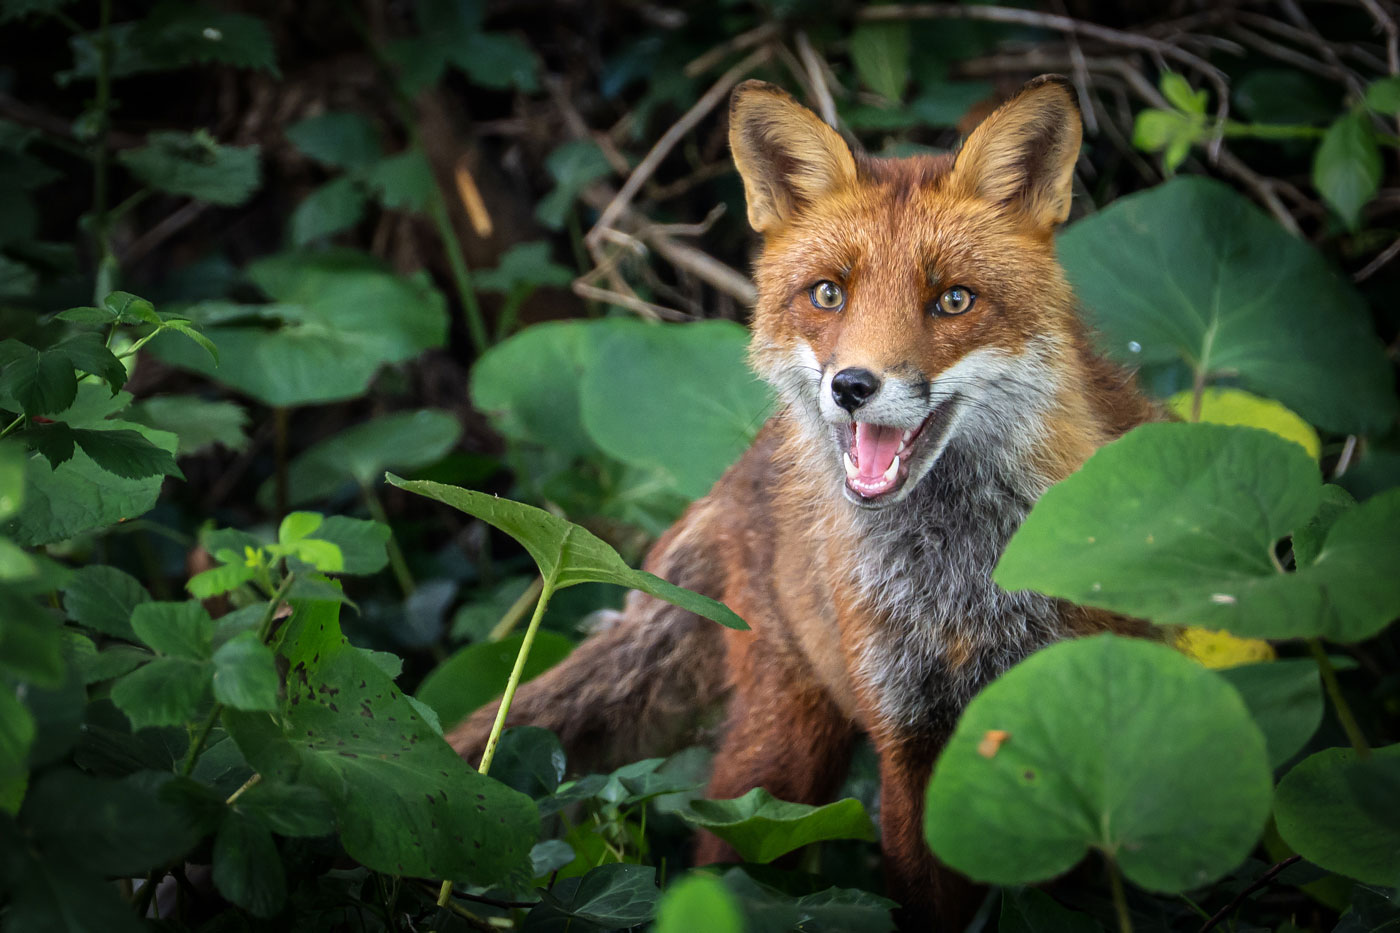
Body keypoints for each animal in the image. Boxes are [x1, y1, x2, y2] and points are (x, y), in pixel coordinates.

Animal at [451, 75, 1157, 927]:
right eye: (828, 294)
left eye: (954, 300)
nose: (852, 385)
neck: (964, 589)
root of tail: (736, 472)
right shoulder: (909, 737)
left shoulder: (1086, 720)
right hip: (782, 756)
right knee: (726, 848)